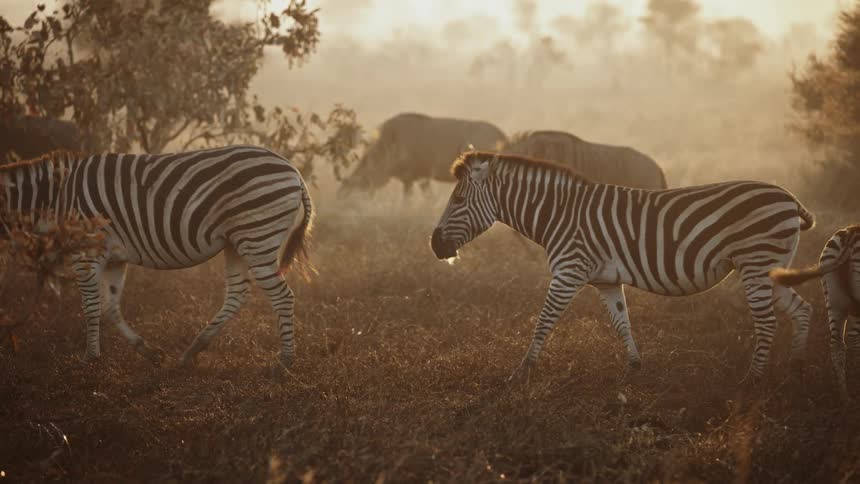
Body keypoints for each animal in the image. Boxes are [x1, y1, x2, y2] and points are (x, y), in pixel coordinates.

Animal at [0, 145, 312, 368]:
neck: (56, 198)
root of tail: (294, 171)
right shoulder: (114, 258)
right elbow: (110, 307)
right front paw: (148, 352)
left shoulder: (86, 251)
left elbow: (91, 306)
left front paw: (89, 358)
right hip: (236, 242)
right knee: (237, 294)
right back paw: (192, 352)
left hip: (257, 235)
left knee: (282, 296)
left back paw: (285, 361)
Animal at [430, 151, 814, 384]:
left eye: (458, 199)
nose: (434, 246)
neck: (559, 215)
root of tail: (789, 197)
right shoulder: (605, 281)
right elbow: (621, 322)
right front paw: (633, 368)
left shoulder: (568, 273)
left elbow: (543, 322)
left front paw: (521, 372)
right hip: (770, 269)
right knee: (802, 309)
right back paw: (796, 370)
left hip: (755, 263)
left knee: (766, 322)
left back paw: (753, 379)